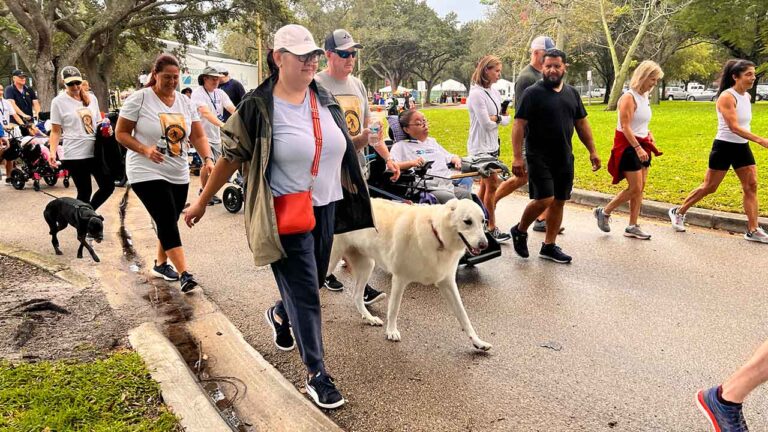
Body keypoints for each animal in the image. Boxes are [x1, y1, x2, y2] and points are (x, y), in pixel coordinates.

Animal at [330, 197, 492, 350]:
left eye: (483, 222)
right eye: (467, 222)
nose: (484, 245)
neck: (437, 235)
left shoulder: (448, 284)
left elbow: (464, 316)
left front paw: (478, 342)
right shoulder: (399, 279)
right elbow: (394, 309)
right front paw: (391, 331)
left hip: (367, 266)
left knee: (357, 296)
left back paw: (370, 318)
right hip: (333, 262)